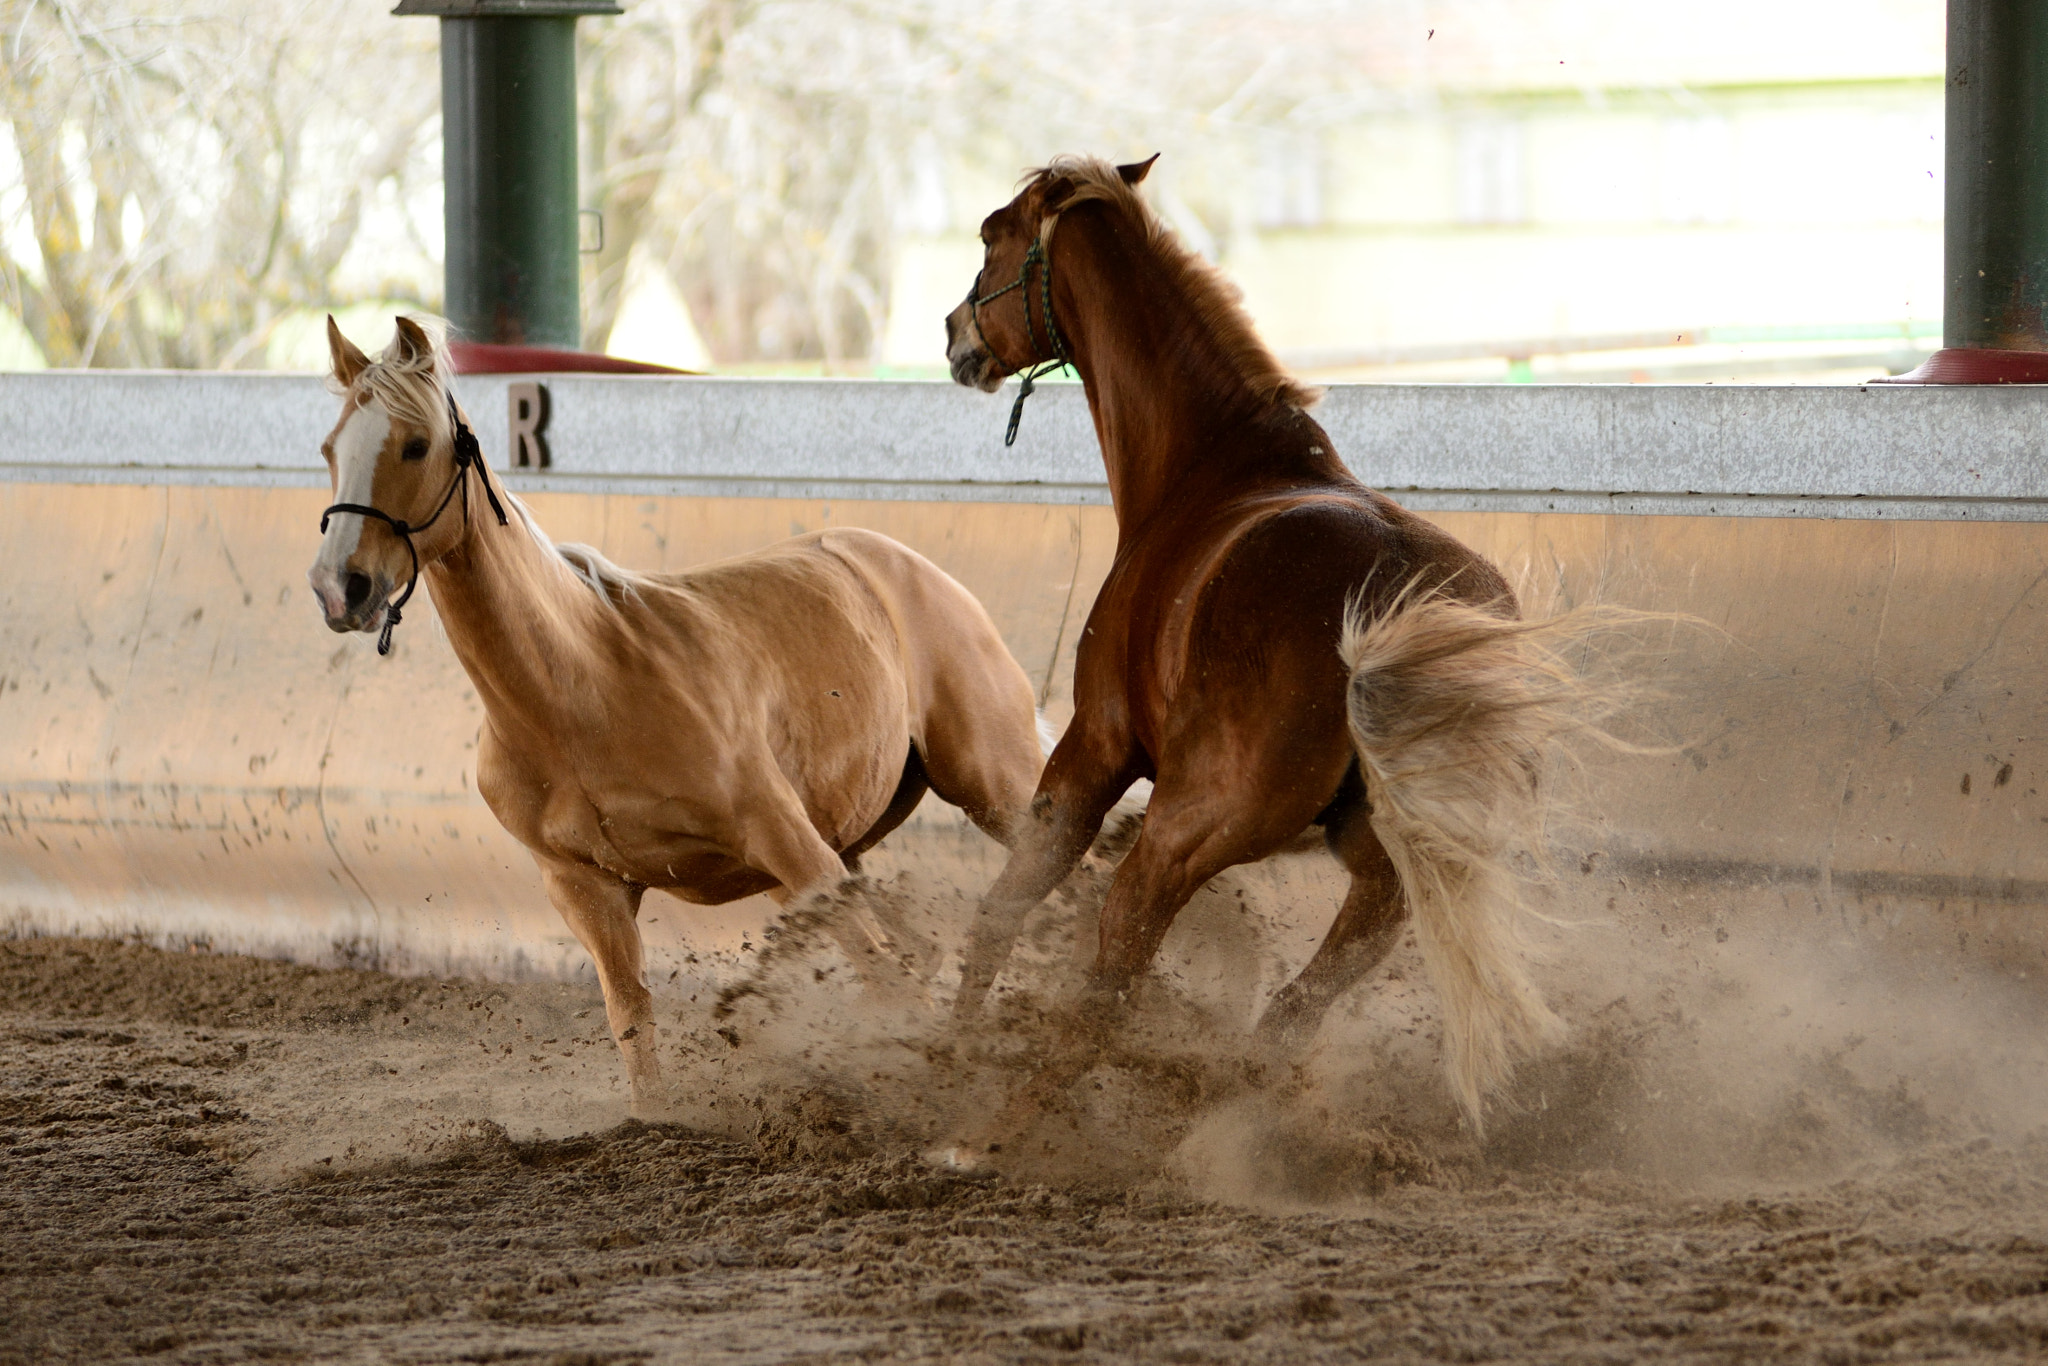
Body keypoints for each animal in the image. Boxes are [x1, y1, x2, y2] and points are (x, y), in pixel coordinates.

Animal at [311, 315, 1048, 1114]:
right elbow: (631, 1017)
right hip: (852, 843)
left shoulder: (789, 843)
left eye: (415, 444)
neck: (579, 697)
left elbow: (886, 981)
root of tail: (907, 566)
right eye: (330, 449)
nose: (340, 587)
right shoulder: (586, 891)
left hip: (994, 788)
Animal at [937, 152, 1589, 1155]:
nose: (953, 333)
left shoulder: (1090, 754)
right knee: (1293, 1007)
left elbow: (1007, 903)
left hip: (1183, 836)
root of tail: (1385, 602)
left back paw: (994, 1137)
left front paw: (946, 1058)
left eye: (990, 235)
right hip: (1386, 866)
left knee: (1110, 989)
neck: (1213, 471)